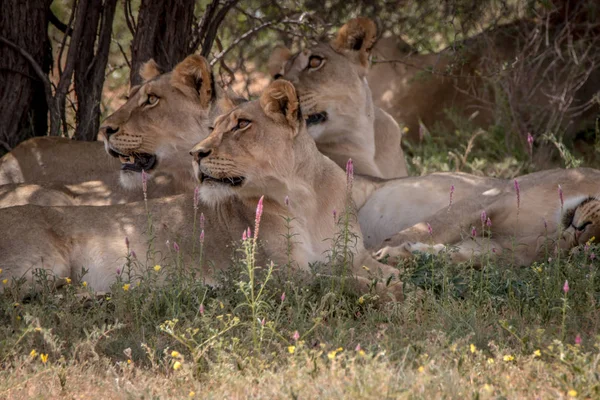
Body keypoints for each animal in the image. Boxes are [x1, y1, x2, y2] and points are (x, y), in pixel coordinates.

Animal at [1, 79, 404, 300]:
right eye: (214, 127)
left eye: (241, 124)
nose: (196, 153)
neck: (305, 198)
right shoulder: (279, 273)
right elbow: (345, 282)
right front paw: (383, 292)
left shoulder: (352, 254)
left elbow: (389, 274)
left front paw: (395, 283)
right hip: (47, 264)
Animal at [372, 167, 600, 268]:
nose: (581, 229)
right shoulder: (492, 200)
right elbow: (432, 228)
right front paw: (378, 253)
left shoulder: (504, 249)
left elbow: (457, 255)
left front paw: (401, 255)